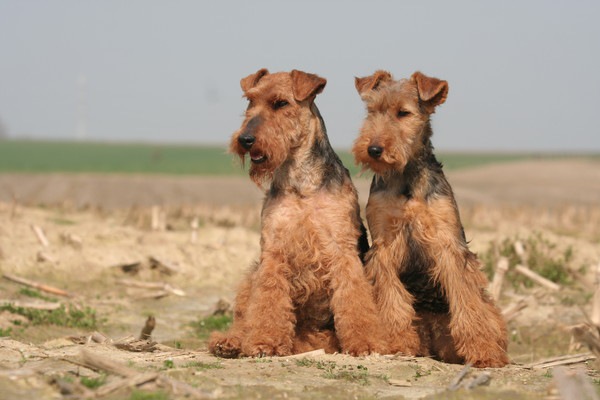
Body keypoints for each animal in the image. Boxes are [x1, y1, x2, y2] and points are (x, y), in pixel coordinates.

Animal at [209, 67, 386, 358]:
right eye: (250, 101)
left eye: (281, 103)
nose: (245, 139)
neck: (301, 183)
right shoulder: (273, 248)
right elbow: (268, 301)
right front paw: (265, 342)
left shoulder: (341, 248)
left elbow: (353, 298)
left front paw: (365, 342)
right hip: (252, 276)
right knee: (243, 319)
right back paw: (229, 342)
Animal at [354, 70, 508, 368]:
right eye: (372, 111)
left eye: (403, 113)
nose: (374, 149)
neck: (406, 181)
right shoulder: (384, 245)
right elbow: (392, 301)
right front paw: (396, 343)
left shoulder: (448, 243)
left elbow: (467, 303)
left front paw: (483, 350)